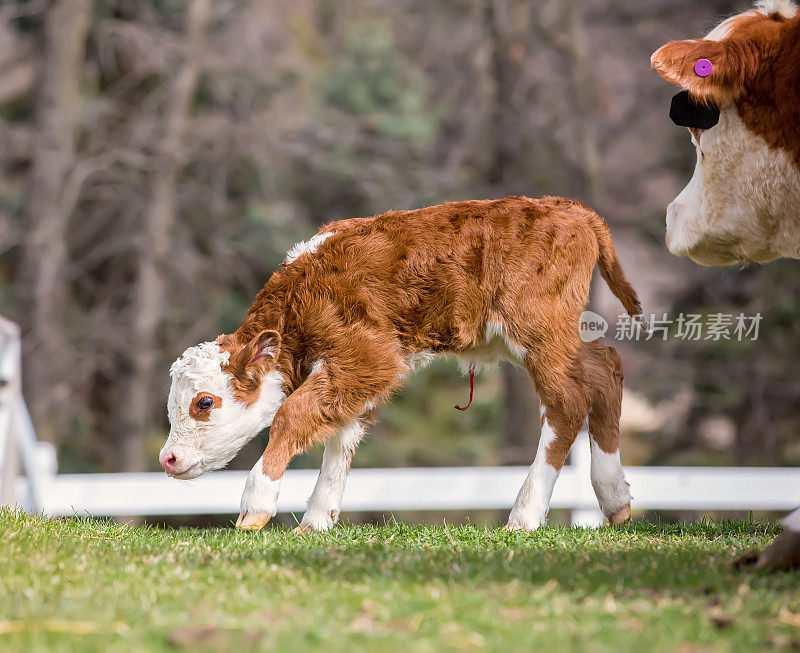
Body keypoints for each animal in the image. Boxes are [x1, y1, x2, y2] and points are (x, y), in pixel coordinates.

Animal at [159, 196, 640, 532]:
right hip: (551, 336)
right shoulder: (357, 375)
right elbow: (341, 437)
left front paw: (255, 507)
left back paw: (525, 515)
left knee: (567, 402)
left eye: (204, 402)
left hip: (539, 330)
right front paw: (316, 521)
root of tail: (568, 209)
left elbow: (293, 414)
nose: (167, 459)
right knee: (606, 367)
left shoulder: (370, 355)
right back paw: (615, 499)